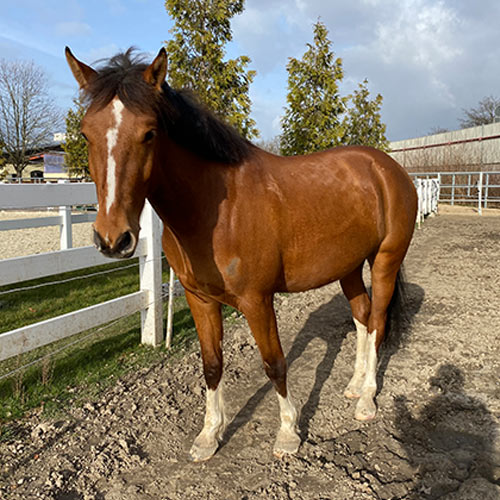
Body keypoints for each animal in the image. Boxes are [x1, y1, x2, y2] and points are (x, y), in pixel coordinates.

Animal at [66, 47, 418, 460]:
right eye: (85, 134)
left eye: (149, 133)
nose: (113, 238)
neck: (215, 209)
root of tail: (387, 167)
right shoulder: (200, 299)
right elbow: (212, 364)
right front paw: (209, 435)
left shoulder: (257, 300)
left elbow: (274, 362)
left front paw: (288, 433)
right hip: (347, 265)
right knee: (362, 315)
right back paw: (355, 383)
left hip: (385, 261)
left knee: (377, 320)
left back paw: (366, 399)